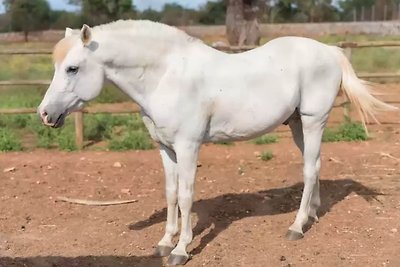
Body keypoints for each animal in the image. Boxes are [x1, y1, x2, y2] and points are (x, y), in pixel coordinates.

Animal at [37, 20, 396, 266]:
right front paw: (163, 242)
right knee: (317, 165)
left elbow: (186, 196)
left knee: (309, 170)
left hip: (313, 120)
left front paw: (181, 249)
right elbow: (170, 193)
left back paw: (296, 227)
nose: (45, 114)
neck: (165, 76)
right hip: (297, 125)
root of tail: (329, 51)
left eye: (72, 68)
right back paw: (313, 215)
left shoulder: (188, 147)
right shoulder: (165, 148)